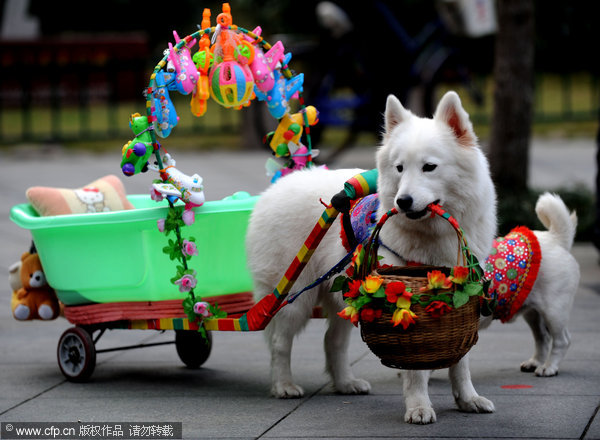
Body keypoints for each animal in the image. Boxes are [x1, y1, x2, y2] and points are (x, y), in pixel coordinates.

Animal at [245, 90, 496, 422]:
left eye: (429, 167)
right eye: (400, 168)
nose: (403, 202)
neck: (432, 235)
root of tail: (275, 188)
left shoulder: (462, 295)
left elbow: (461, 360)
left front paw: (468, 399)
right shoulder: (403, 298)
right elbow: (416, 370)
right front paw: (419, 406)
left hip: (343, 293)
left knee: (332, 341)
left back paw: (345, 383)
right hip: (294, 299)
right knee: (279, 344)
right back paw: (284, 385)